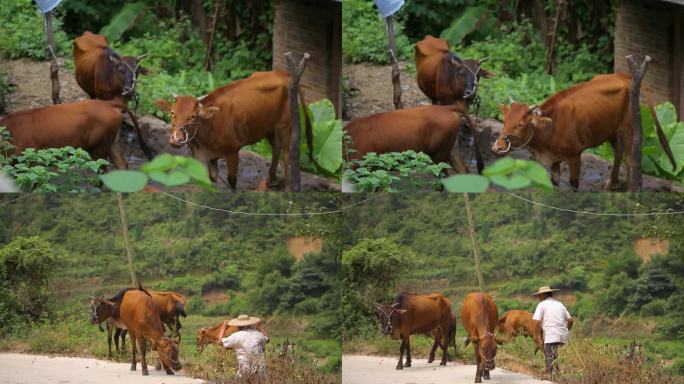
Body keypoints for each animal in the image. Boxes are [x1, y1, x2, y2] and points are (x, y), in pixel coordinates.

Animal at [73, 30, 154, 160]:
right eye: (121, 70)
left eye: (136, 72)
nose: (129, 90)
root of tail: (88, 33)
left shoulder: (123, 101)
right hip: (91, 91)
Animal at [155, 70, 312, 190]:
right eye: (172, 113)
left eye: (193, 116)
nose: (176, 139)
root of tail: (282, 73)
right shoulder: (210, 156)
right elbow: (212, 178)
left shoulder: (233, 151)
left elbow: (232, 181)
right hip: (269, 127)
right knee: (276, 148)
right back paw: (270, 179)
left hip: (286, 124)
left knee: (287, 153)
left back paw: (287, 187)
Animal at [492, 72, 672, 190]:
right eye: (504, 120)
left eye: (521, 124)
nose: (498, 146)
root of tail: (622, 75)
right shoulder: (554, 161)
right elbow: (554, 185)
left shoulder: (575, 155)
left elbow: (574, 185)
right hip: (610, 129)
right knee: (618, 151)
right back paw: (611, 183)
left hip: (628, 126)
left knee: (630, 158)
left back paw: (629, 190)